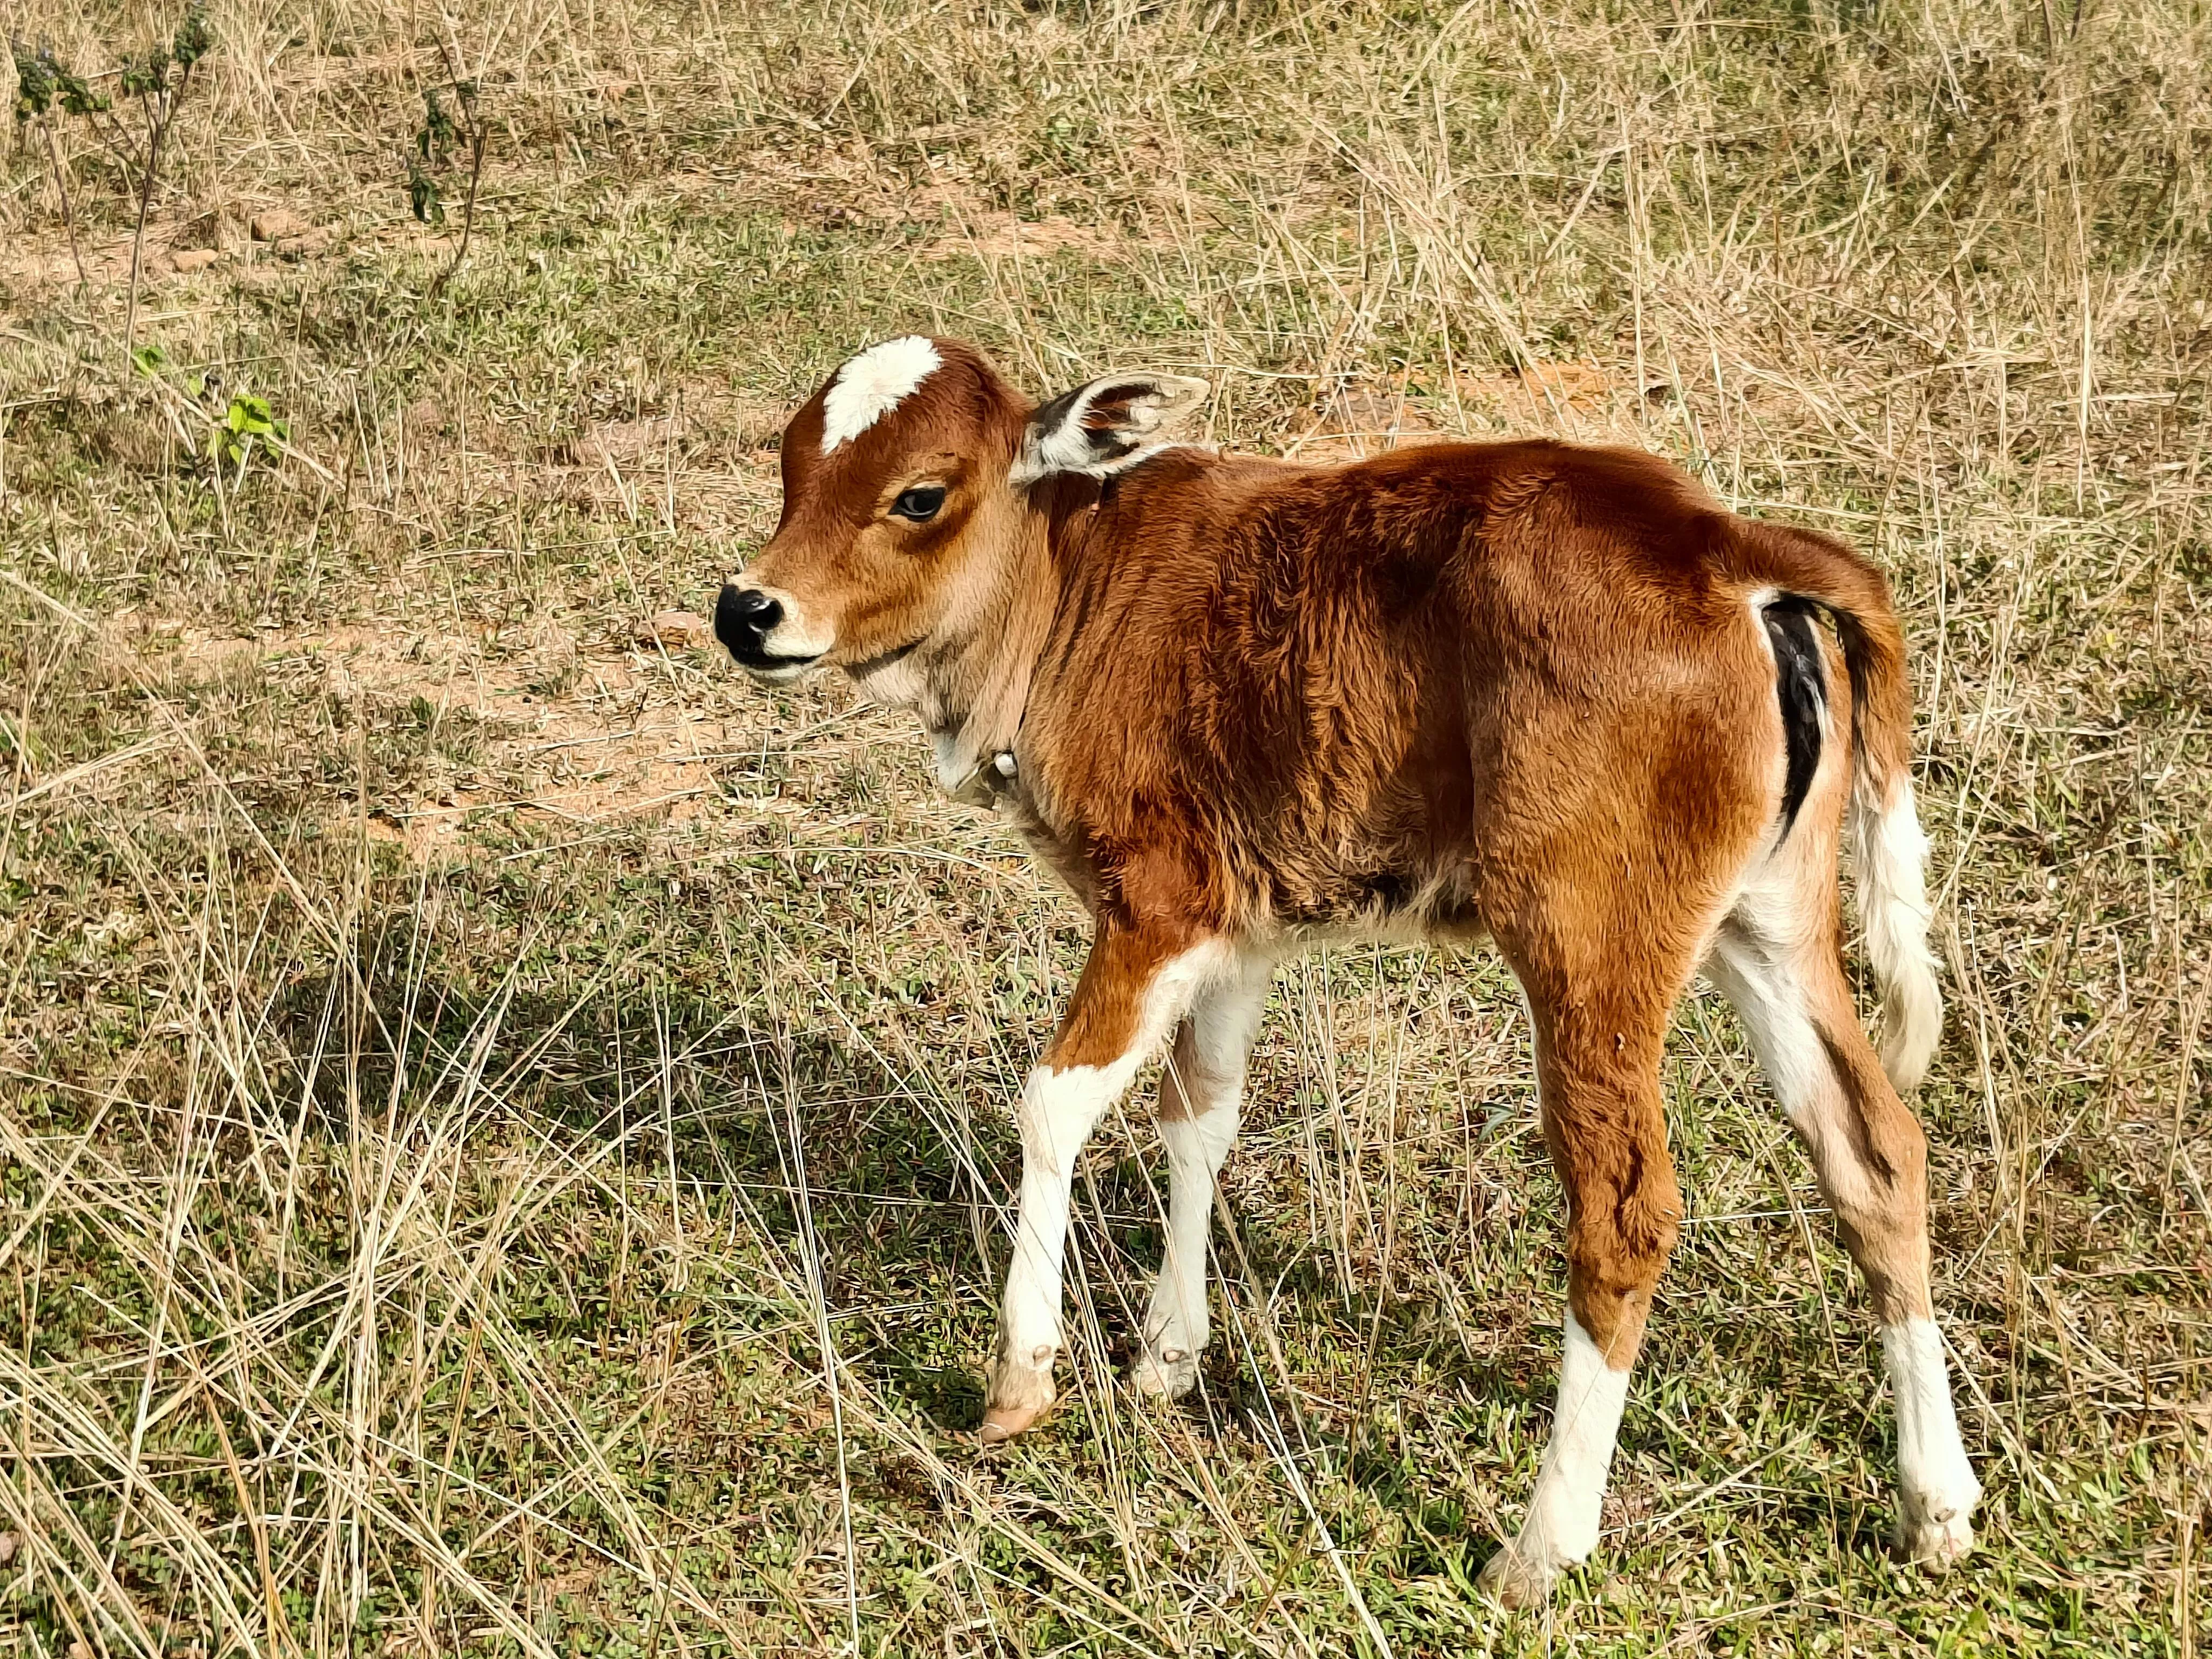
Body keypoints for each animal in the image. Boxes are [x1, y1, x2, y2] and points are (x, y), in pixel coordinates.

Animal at [712, 334, 1980, 1603]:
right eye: (789, 463)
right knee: (1873, 1152)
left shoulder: (1156, 901)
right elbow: (1198, 1115)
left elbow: (1053, 1104)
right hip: (1768, 926)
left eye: (919, 496)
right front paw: (1168, 1355)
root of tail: (1721, 543)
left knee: (1624, 1214)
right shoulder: (1239, 925)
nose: (747, 608)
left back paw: (1540, 1546)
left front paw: (1022, 1376)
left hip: (1588, 947)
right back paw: (1935, 1504)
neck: (1081, 569)